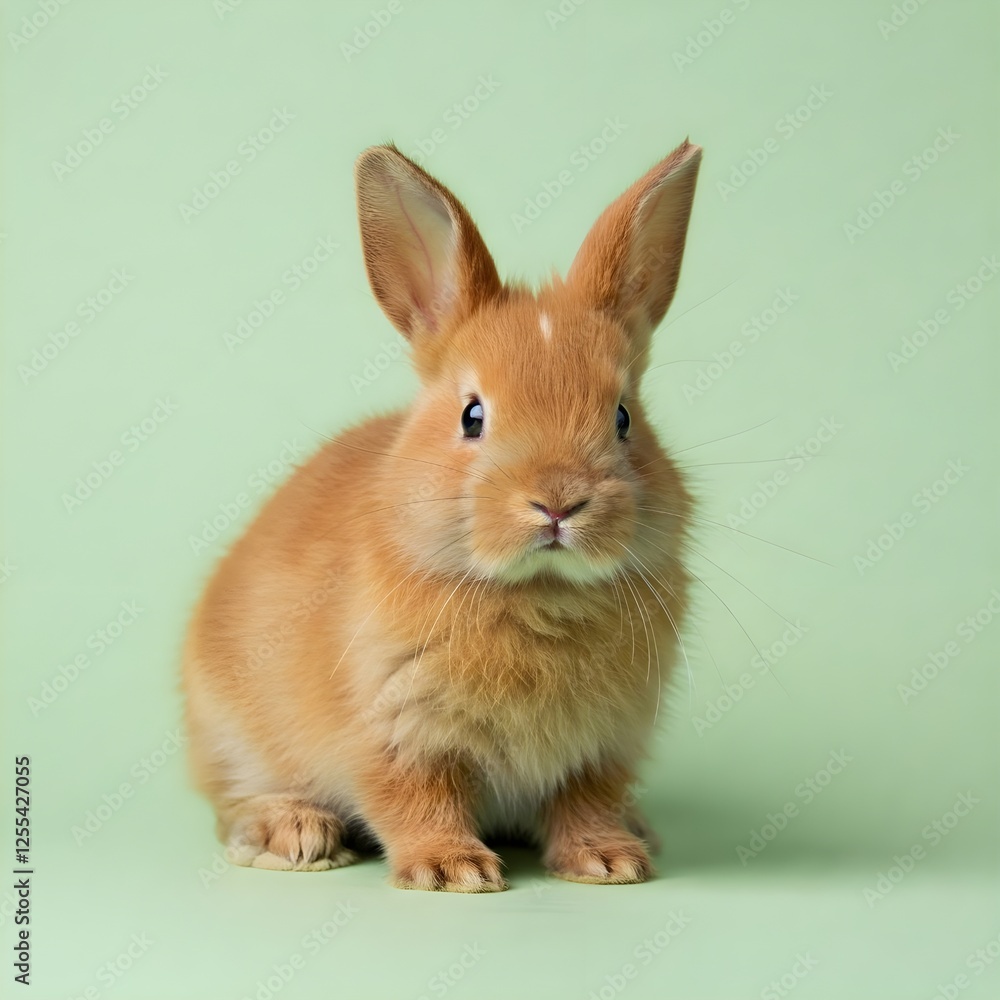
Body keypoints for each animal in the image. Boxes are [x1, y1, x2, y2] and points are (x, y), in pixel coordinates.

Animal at [182, 137, 702, 891]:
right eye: (472, 416)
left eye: (625, 417)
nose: (557, 502)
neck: (538, 593)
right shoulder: (392, 730)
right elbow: (414, 798)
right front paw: (452, 870)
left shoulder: (603, 748)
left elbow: (586, 802)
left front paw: (609, 861)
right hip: (232, 734)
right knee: (234, 800)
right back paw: (293, 835)